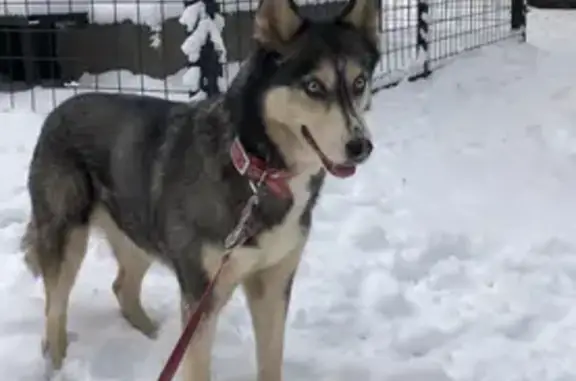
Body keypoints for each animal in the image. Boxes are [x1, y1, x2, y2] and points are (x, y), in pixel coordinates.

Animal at [22, 0, 380, 378]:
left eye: (359, 82)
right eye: (313, 86)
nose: (361, 146)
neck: (257, 172)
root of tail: (58, 110)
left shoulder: (273, 283)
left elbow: (270, 360)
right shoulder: (201, 296)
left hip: (139, 232)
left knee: (122, 288)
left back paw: (152, 337)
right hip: (67, 238)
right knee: (54, 310)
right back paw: (56, 363)